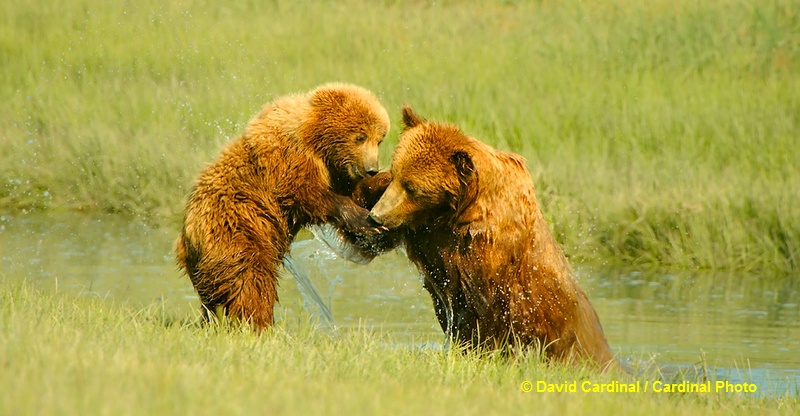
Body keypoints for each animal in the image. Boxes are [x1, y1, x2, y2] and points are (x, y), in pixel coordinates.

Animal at [175, 83, 390, 328]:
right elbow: (308, 195)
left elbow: (356, 193)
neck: (317, 142)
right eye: (360, 136)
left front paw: (386, 181)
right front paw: (364, 220)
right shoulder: (286, 156)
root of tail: (186, 235)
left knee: (215, 295)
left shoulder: (337, 174)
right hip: (235, 225)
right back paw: (258, 323)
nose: (371, 168)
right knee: (250, 277)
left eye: (379, 139)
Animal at [364, 106, 620, 368]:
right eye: (396, 174)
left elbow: (476, 307)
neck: (461, 211)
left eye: (412, 188)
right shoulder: (434, 236)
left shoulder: (486, 251)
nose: (376, 216)